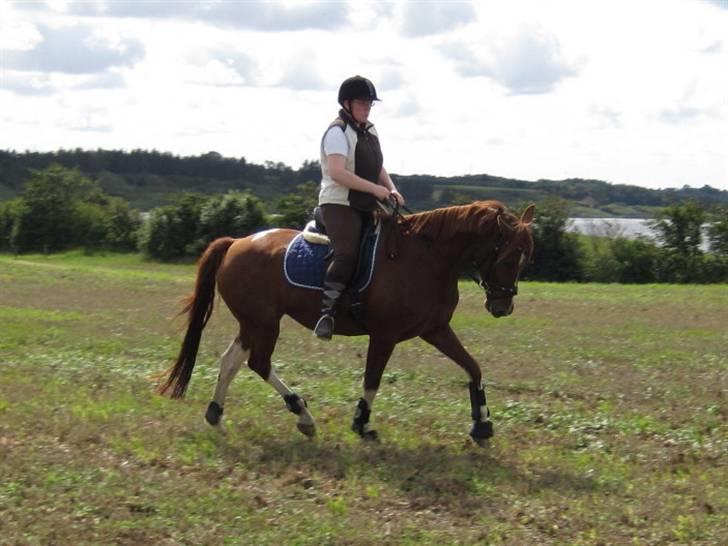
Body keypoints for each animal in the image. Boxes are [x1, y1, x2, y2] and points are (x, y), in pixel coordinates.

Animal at [159, 201, 536, 446]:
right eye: (507, 258)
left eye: (525, 259)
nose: (503, 306)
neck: (427, 258)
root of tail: (237, 242)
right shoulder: (384, 335)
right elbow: (372, 380)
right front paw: (362, 425)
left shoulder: (435, 329)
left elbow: (473, 368)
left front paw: (482, 425)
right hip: (264, 323)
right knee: (258, 363)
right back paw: (302, 415)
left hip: (254, 322)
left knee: (232, 361)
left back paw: (216, 416)